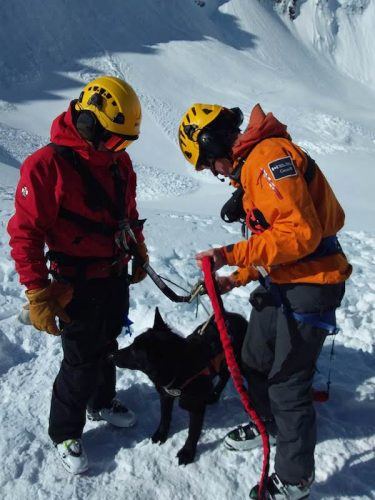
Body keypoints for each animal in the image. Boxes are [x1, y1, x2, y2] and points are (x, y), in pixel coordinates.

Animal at [110, 308, 248, 464]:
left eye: (134, 350)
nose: (112, 355)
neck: (179, 367)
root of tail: (231, 315)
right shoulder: (166, 395)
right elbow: (165, 417)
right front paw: (161, 435)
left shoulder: (196, 408)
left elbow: (193, 432)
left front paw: (187, 453)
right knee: (225, 375)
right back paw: (213, 395)